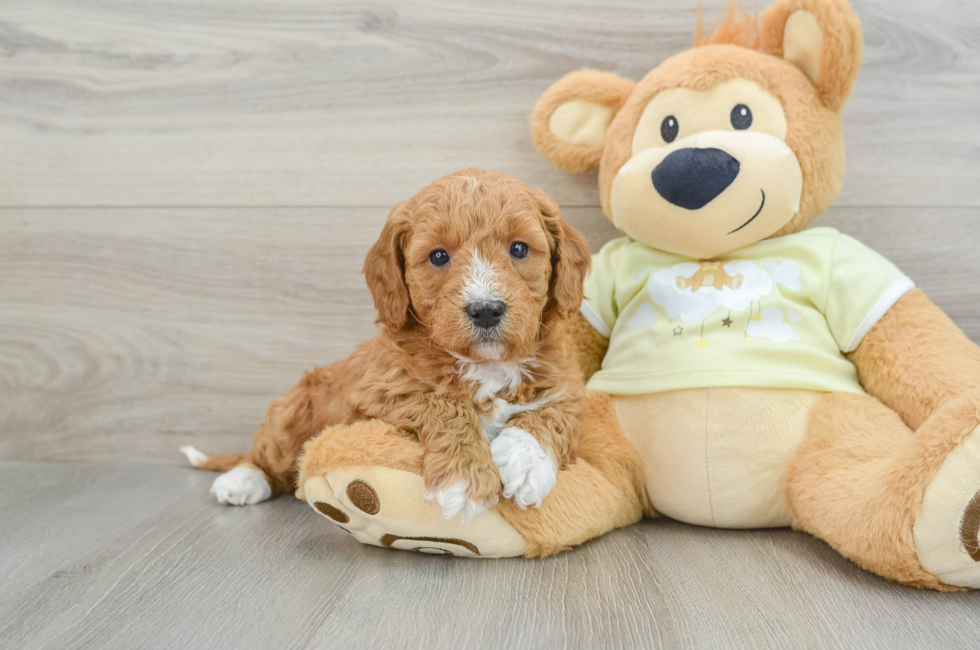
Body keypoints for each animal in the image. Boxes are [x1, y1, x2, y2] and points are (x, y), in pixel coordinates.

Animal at [182, 168, 588, 520]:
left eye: (519, 249)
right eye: (438, 256)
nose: (485, 310)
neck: (485, 364)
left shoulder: (568, 381)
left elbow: (556, 410)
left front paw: (526, 463)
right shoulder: (379, 391)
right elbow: (443, 403)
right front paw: (464, 478)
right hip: (290, 413)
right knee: (270, 459)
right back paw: (243, 479)